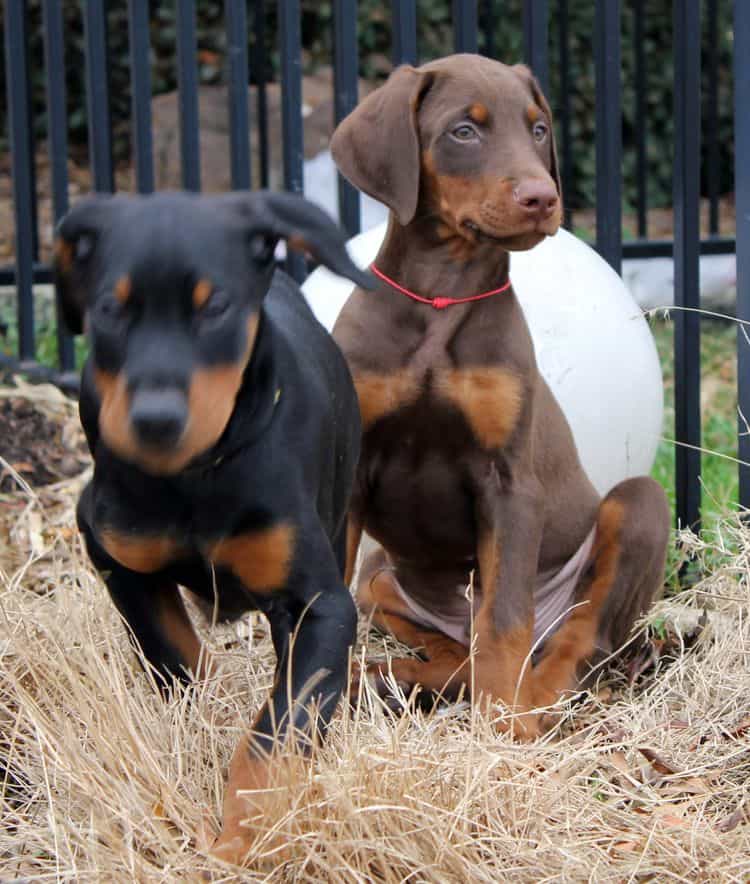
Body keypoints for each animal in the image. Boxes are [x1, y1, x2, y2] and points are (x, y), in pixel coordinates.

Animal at [55, 192, 376, 864]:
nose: (155, 420)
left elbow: (278, 731)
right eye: (109, 309)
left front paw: (243, 836)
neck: (194, 479)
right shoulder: (114, 553)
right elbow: (175, 656)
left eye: (216, 307)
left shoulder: (319, 604)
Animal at [332, 51, 672, 736]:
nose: (543, 197)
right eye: (464, 131)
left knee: (575, 637)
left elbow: (506, 619)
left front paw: (503, 732)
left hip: (638, 509)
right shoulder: (351, 469)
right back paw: (402, 675)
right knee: (452, 647)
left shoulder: (509, 483)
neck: (442, 295)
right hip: (383, 575)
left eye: (539, 129)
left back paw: (535, 702)